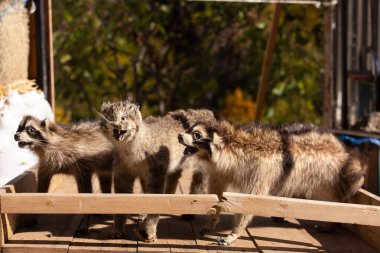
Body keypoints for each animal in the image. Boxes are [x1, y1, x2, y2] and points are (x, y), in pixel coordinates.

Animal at [99, 101, 215, 241]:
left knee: (199, 182)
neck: (130, 149)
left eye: (123, 118)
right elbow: (122, 201)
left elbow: (153, 201)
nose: (116, 125)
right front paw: (118, 230)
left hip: (201, 166)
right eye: (109, 117)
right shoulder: (123, 174)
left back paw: (189, 212)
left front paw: (149, 231)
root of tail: (206, 111)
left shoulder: (157, 172)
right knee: (173, 177)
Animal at [179, 120, 368, 245]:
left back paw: (333, 220)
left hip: (327, 174)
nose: (180, 135)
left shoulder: (259, 171)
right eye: (188, 129)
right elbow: (218, 195)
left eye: (197, 135)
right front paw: (212, 219)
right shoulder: (222, 171)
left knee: (330, 198)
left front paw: (235, 231)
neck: (230, 144)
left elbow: (249, 201)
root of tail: (342, 149)